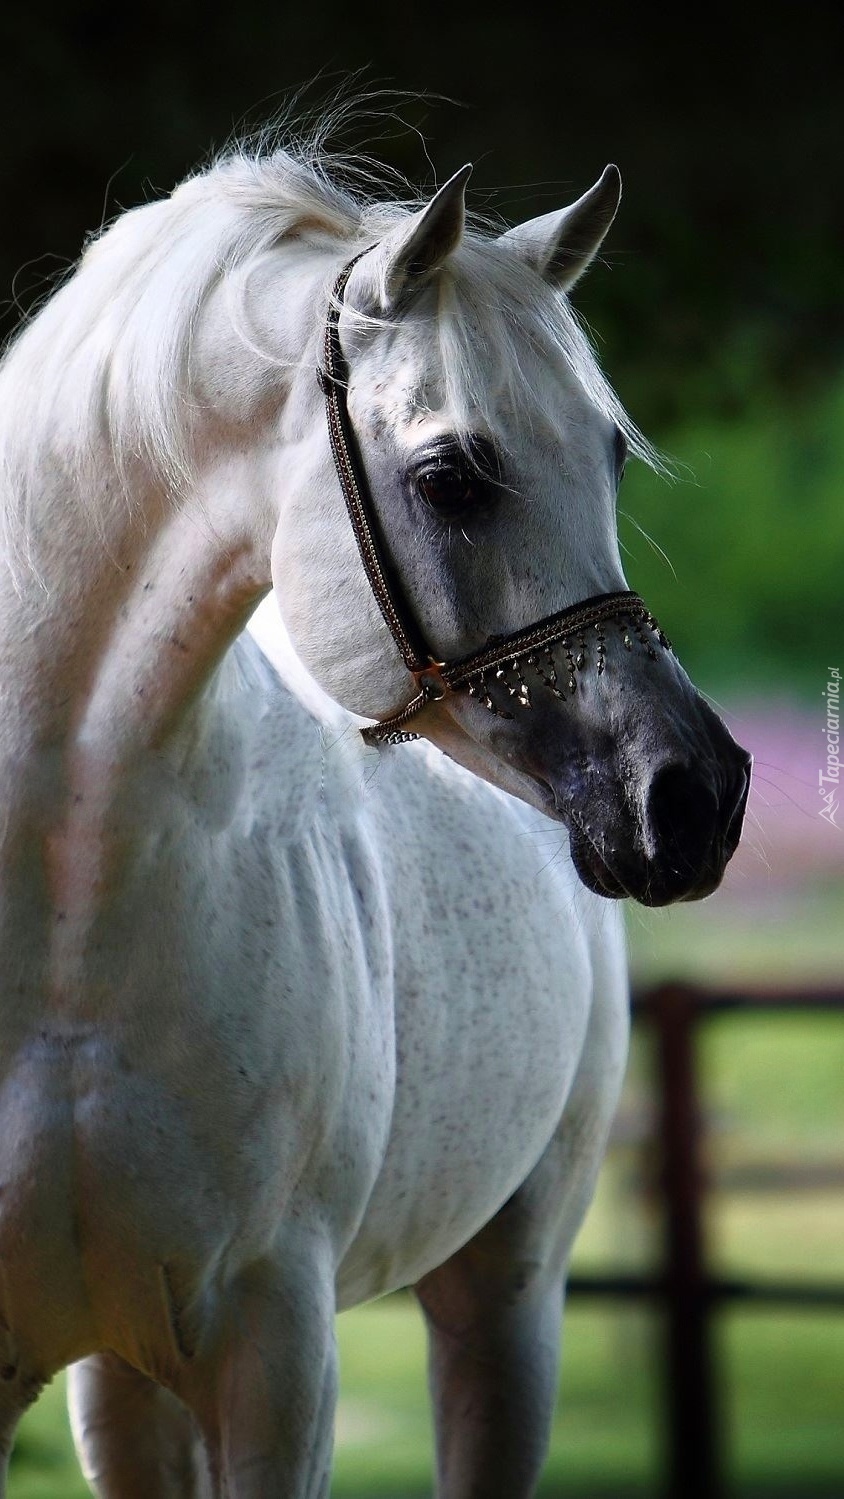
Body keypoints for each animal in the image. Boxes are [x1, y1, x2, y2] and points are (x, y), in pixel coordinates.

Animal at [1, 137, 752, 1487]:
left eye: (610, 453)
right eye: (451, 477)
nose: (691, 795)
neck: (60, 923)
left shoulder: (275, 1350)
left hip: (506, 1305)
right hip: (126, 1384)